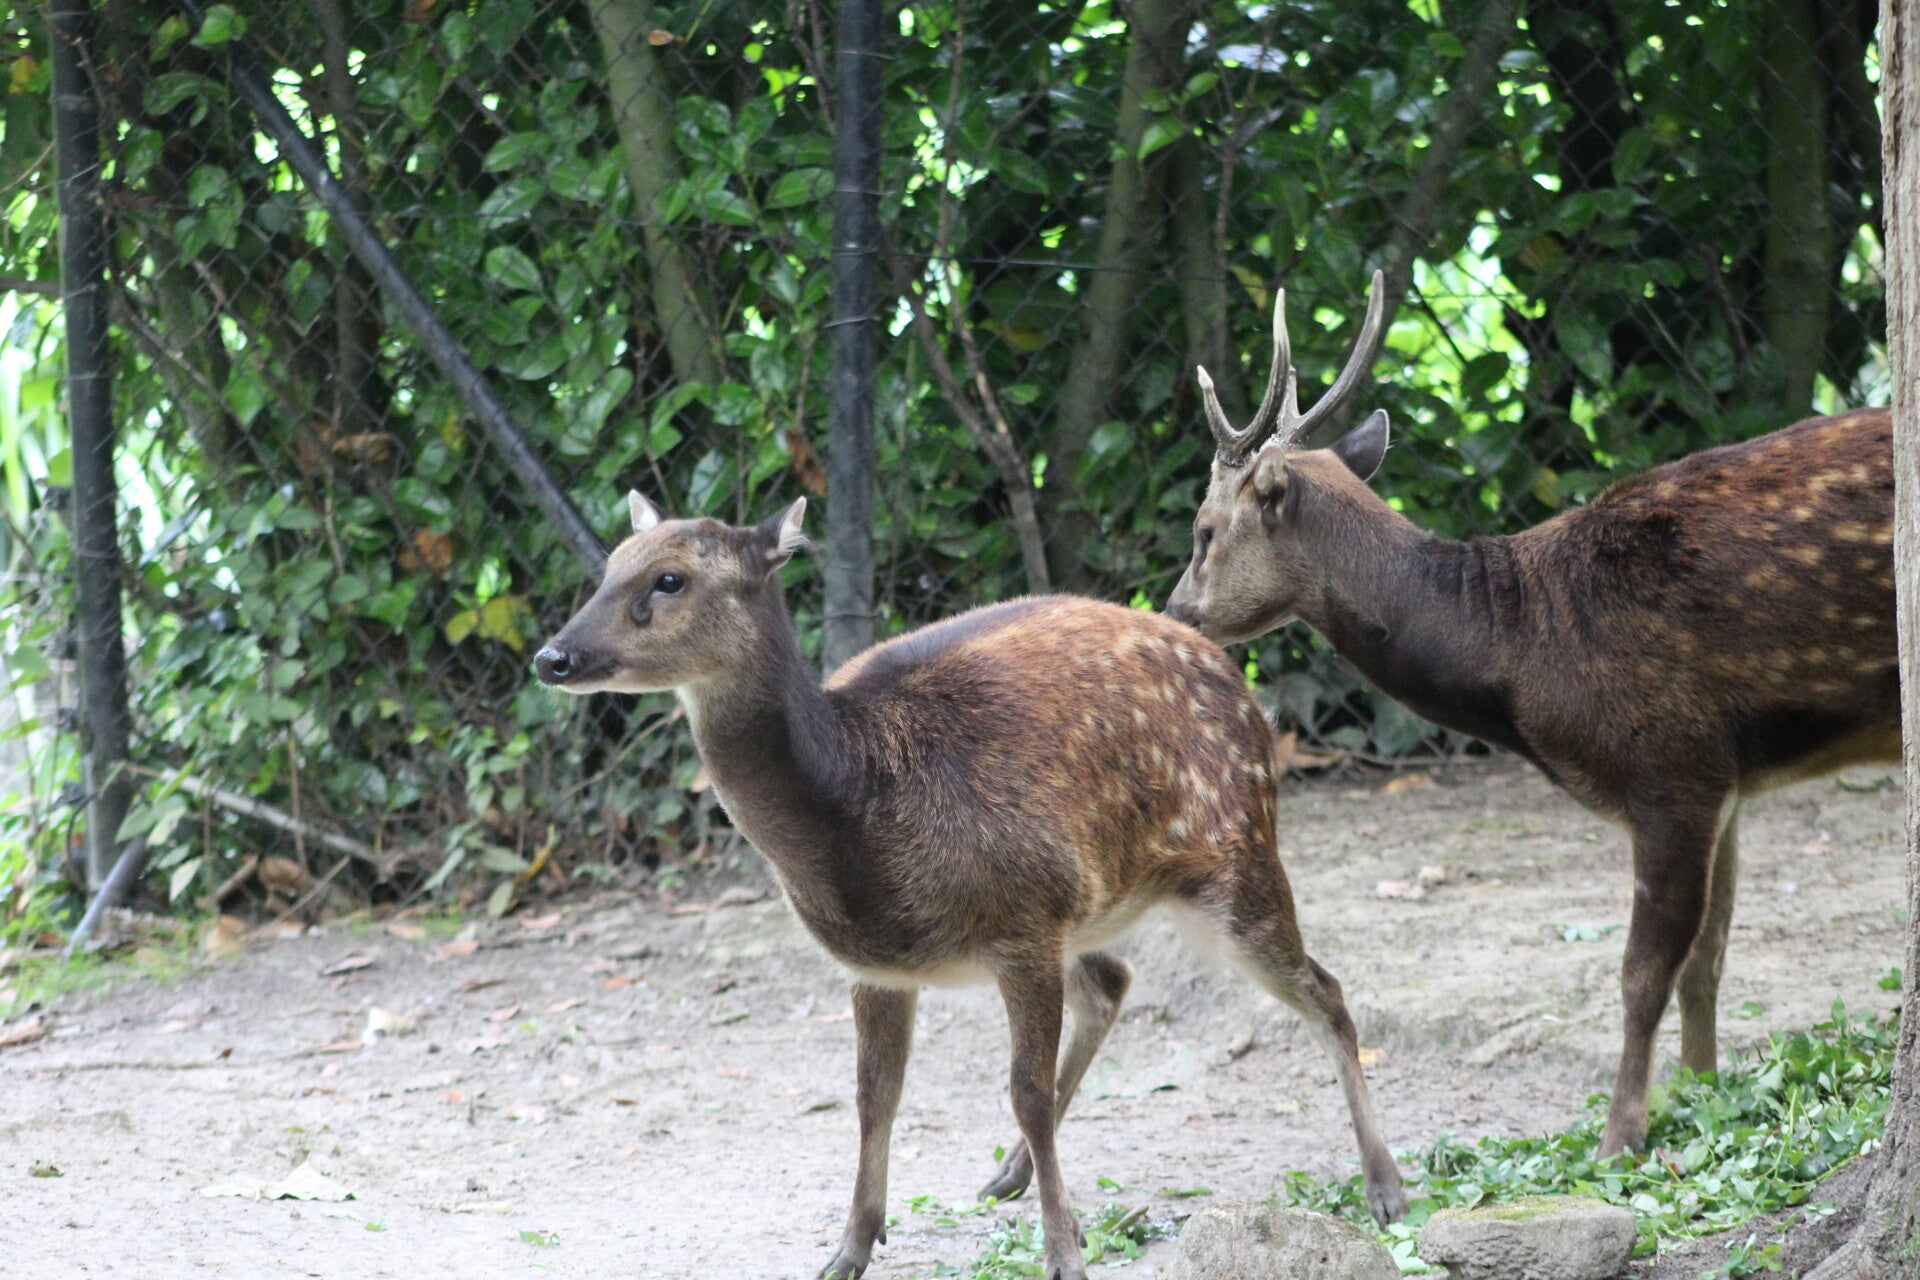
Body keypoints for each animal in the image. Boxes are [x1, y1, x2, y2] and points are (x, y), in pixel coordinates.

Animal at [534, 493, 1408, 1280]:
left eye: (670, 579)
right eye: (608, 568)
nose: (553, 657)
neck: (859, 808)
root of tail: (1238, 679)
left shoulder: (1022, 923)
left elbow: (1021, 1089)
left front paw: (1061, 1258)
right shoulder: (879, 966)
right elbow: (874, 1096)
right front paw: (849, 1250)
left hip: (1236, 853)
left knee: (1324, 990)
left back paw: (1386, 1189)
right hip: (1091, 906)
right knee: (1115, 980)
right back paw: (1010, 1174)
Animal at [1164, 269, 1900, 1159]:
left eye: (1203, 530)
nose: (1172, 611)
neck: (1524, 652)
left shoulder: (1669, 764)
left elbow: (1642, 972)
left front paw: (1620, 1137)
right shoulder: (1726, 777)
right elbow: (1709, 959)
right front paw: (1703, 1094)